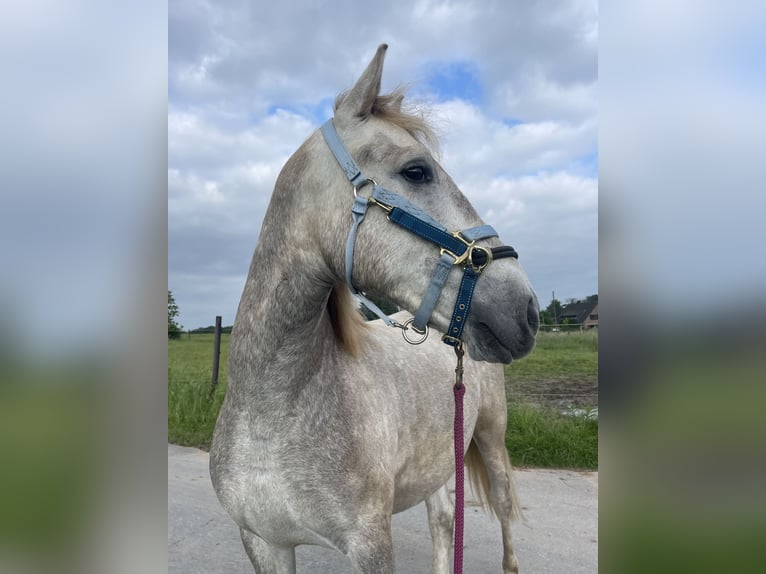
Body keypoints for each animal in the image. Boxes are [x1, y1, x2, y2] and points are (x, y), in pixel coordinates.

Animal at [210, 46, 540, 574]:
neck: (272, 415)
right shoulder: (263, 542)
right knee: (444, 521)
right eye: (417, 170)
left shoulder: (369, 544)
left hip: (490, 439)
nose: (526, 309)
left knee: (505, 513)